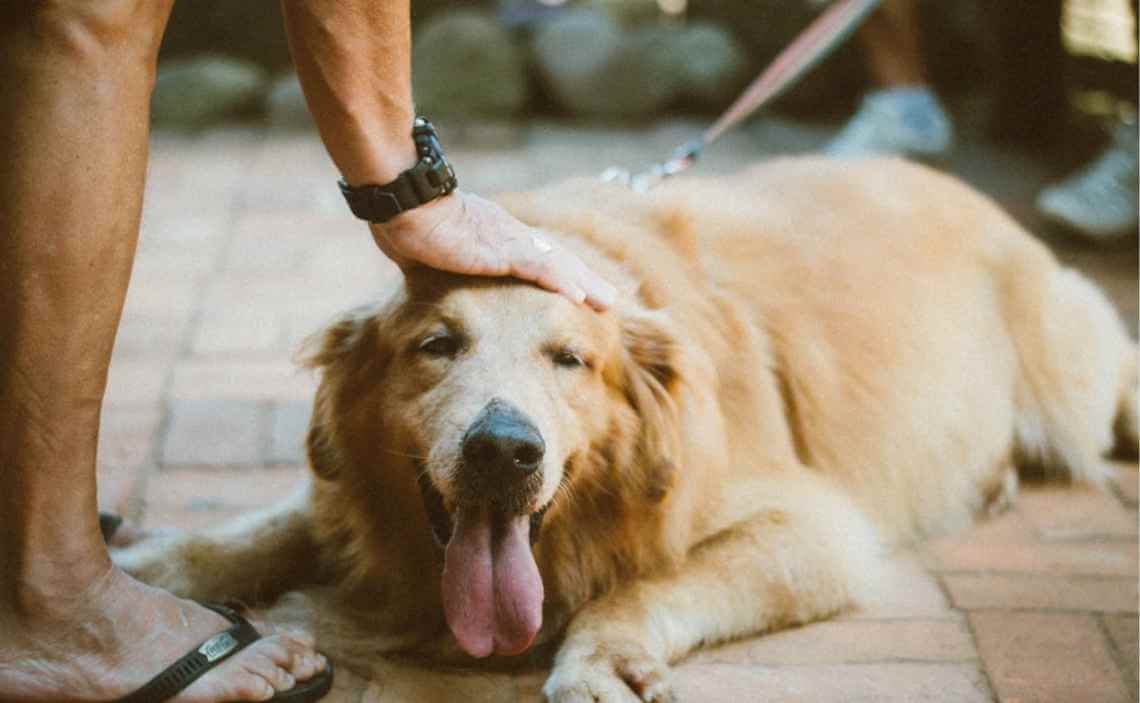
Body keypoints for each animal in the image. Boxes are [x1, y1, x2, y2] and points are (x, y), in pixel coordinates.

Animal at [117, 156, 1140, 697]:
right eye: (437, 344)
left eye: (571, 359)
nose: (502, 451)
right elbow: (266, 526)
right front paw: (152, 567)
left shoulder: (814, 528)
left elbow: (648, 582)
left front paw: (603, 654)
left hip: (1074, 376)